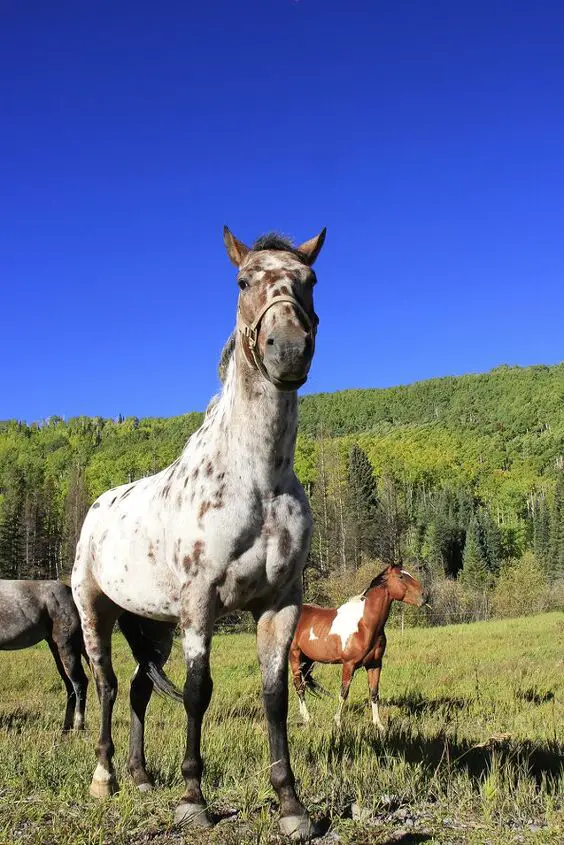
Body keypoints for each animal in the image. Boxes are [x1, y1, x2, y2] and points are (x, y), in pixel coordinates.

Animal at [0, 580, 88, 732]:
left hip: (67, 647)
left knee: (80, 683)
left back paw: (77, 728)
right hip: (56, 649)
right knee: (70, 686)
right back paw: (65, 729)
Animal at [71, 224, 326, 836]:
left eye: (309, 279)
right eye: (243, 281)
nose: (289, 349)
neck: (257, 479)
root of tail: (96, 510)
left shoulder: (280, 602)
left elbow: (275, 695)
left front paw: (292, 806)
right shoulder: (200, 601)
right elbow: (197, 692)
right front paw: (193, 800)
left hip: (153, 625)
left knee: (138, 691)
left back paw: (141, 777)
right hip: (96, 611)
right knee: (108, 685)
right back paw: (105, 778)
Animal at [290, 564, 424, 728]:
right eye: (401, 577)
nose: (424, 596)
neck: (364, 625)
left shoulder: (374, 664)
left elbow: (374, 692)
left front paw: (379, 724)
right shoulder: (349, 664)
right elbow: (343, 693)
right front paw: (338, 723)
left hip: (308, 660)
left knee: (302, 683)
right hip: (294, 657)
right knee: (299, 687)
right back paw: (308, 719)